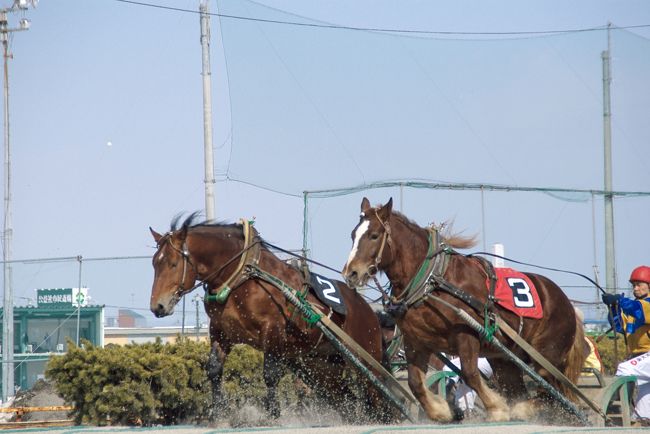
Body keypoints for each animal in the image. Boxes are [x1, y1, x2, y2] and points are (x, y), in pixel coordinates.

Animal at [149, 214, 392, 424]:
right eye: (154, 263)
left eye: (172, 263)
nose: (157, 306)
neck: (243, 276)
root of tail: (369, 312)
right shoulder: (220, 331)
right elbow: (215, 370)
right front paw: (219, 413)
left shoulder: (272, 331)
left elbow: (270, 375)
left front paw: (273, 414)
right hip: (320, 367)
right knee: (345, 397)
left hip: (367, 361)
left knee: (376, 395)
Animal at [342, 199, 584, 424]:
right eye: (353, 235)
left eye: (374, 235)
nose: (351, 273)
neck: (433, 282)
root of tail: (567, 304)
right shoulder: (416, 341)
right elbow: (415, 382)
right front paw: (440, 410)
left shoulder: (466, 335)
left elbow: (469, 373)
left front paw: (496, 408)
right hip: (506, 360)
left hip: (547, 357)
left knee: (553, 392)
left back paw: (523, 409)